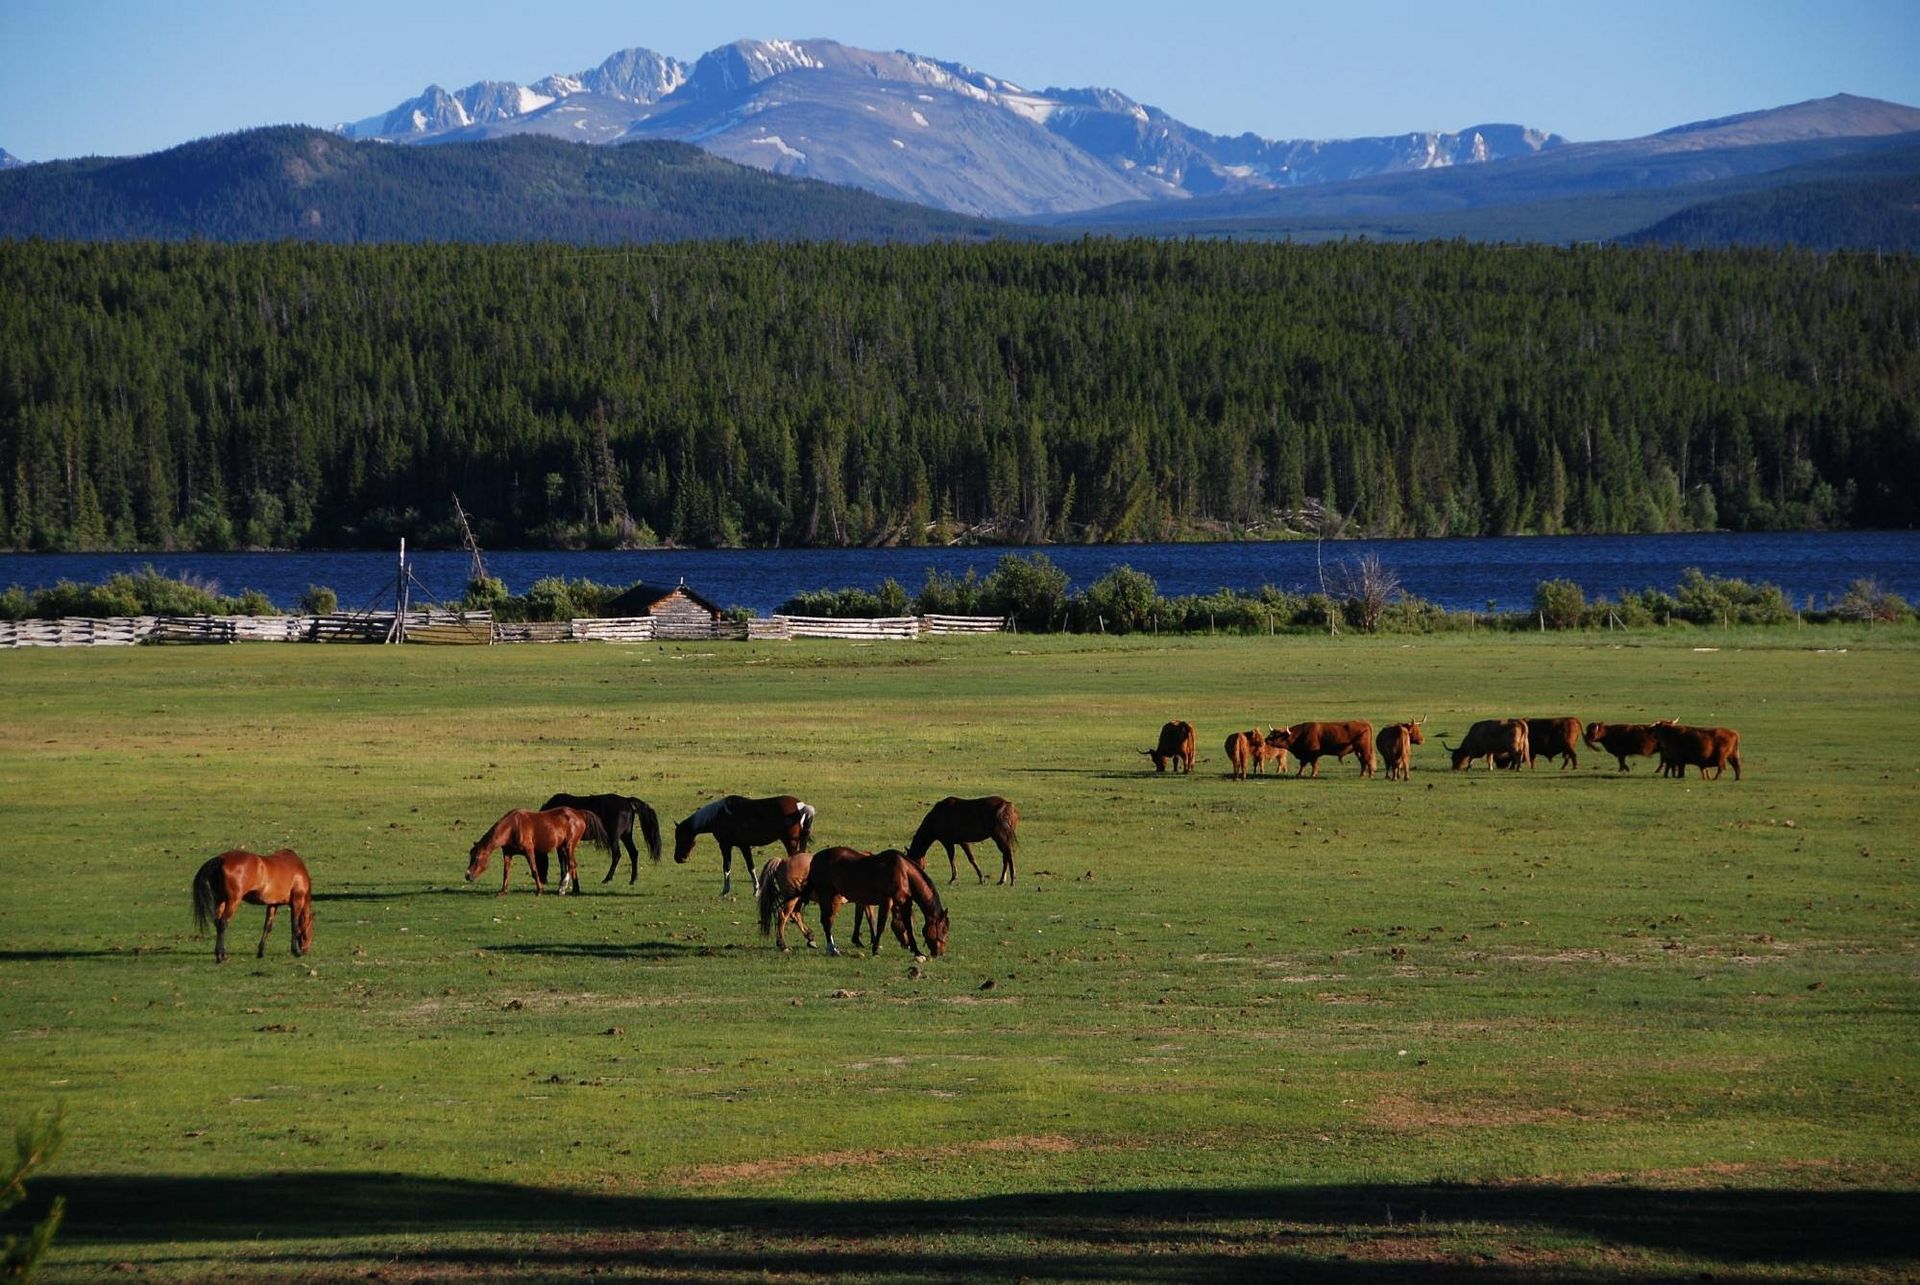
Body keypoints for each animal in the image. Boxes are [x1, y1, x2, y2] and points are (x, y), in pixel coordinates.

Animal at [465, 807, 605, 896]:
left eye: (476, 858)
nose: (467, 875)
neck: (512, 827)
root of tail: (578, 813)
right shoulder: (508, 854)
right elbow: (506, 872)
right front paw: (503, 890)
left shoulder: (529, 851)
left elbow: (534, 870)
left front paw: (539, 890)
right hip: (564, 847)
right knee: (573, 864)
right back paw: (575, 890)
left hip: (568, 845)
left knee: (571, 864)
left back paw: (562, 888)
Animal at [673, 795, 815, 896]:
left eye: (679, 837)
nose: (678, 858)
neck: (720, 814)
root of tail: (800, 806)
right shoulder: (743, 846)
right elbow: (750, 867)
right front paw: (756, 890)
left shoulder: (727, 845)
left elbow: (728, 866)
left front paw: (726, 891)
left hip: (790, 842)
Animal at [801, 847, 949, 960]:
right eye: (943, 929)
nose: (940, 953)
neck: (903, 872)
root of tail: (815, 858)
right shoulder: (887, 901)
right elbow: (881, 926)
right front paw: (875, 949)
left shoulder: (904, 903)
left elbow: (908, 926)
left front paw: (917, 951)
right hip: (826, 895)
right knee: (827, 921)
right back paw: (832, 949)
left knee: (828, 920)